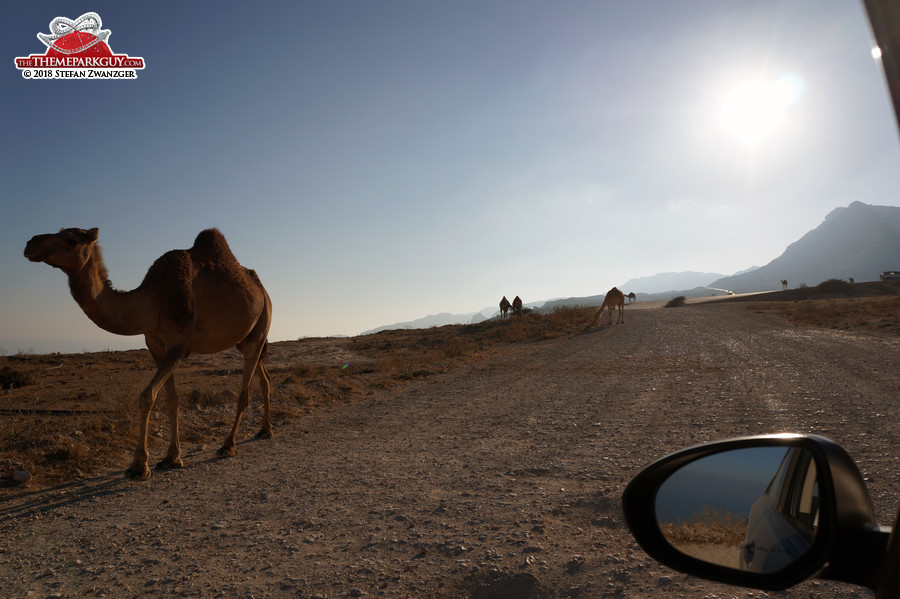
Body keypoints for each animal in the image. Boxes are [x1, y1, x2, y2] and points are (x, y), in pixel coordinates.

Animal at [23, 227, 270, 480]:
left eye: (71, 240)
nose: (31, 243)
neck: (154, 301)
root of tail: (262, 290)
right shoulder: (157, 348)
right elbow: (172, 400)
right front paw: (172, 457)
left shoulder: (178, 346)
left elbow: (147, 396)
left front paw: (139, 465)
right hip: (244, 339)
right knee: (263, 377)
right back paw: (265, 430)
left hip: (261, 326)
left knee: (245, 391)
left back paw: (228, 446)